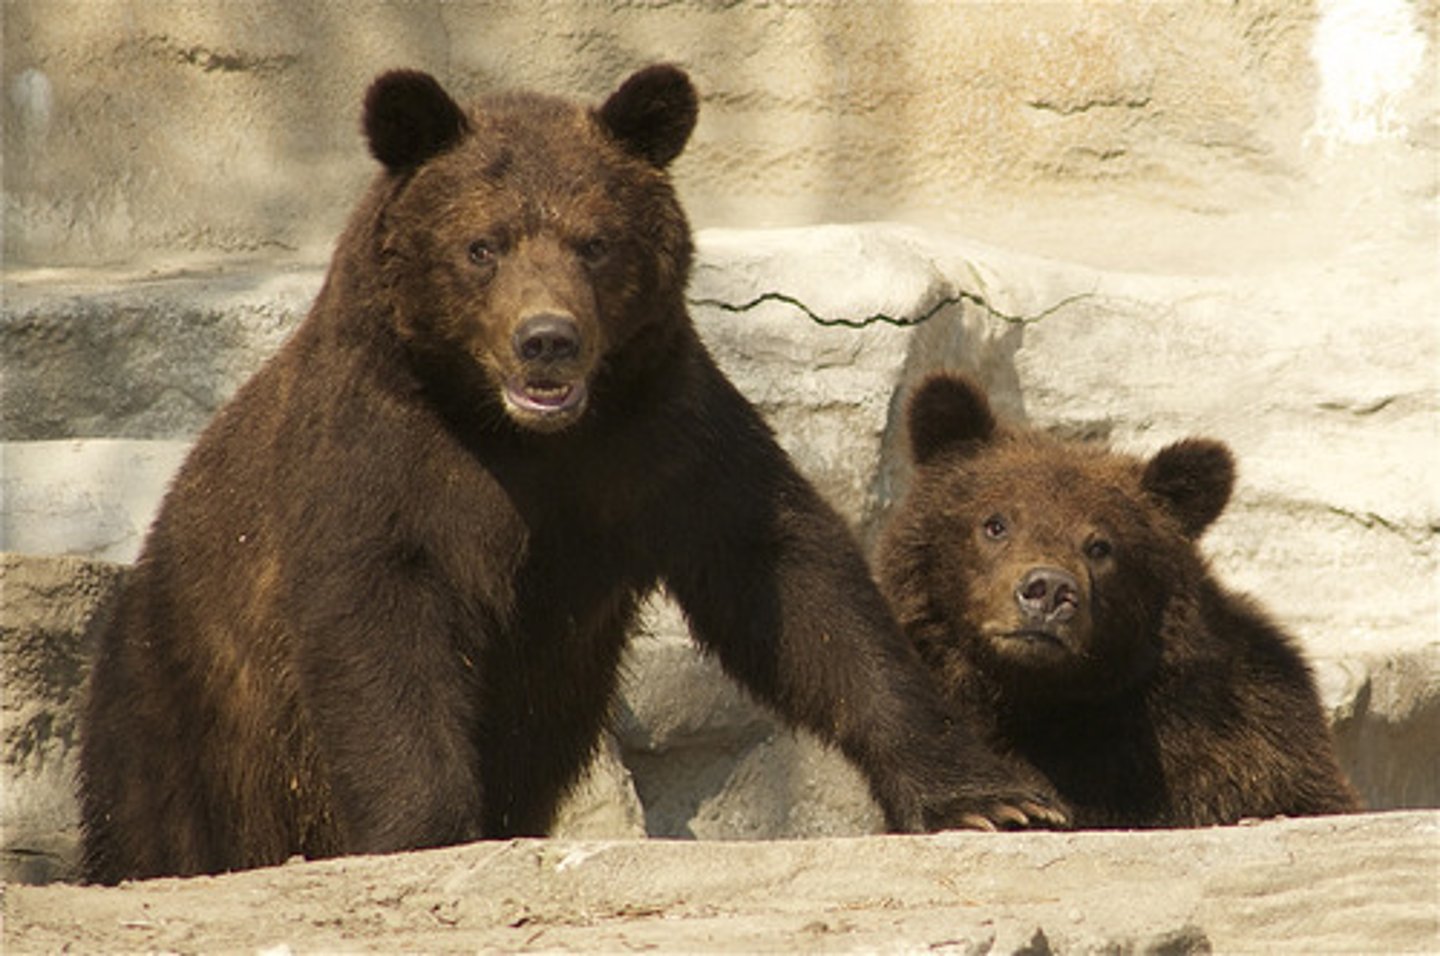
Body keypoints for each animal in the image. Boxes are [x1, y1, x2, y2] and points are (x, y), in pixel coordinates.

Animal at [77, 68, 1065, 884]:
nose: (546, 338)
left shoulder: (658, 436)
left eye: (595, 242)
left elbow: (795, 580)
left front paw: (993, 798)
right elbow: (381, 629)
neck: (517, 433)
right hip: (179, 725)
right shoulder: (381, 457)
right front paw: (431, 831)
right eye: (483, 244)